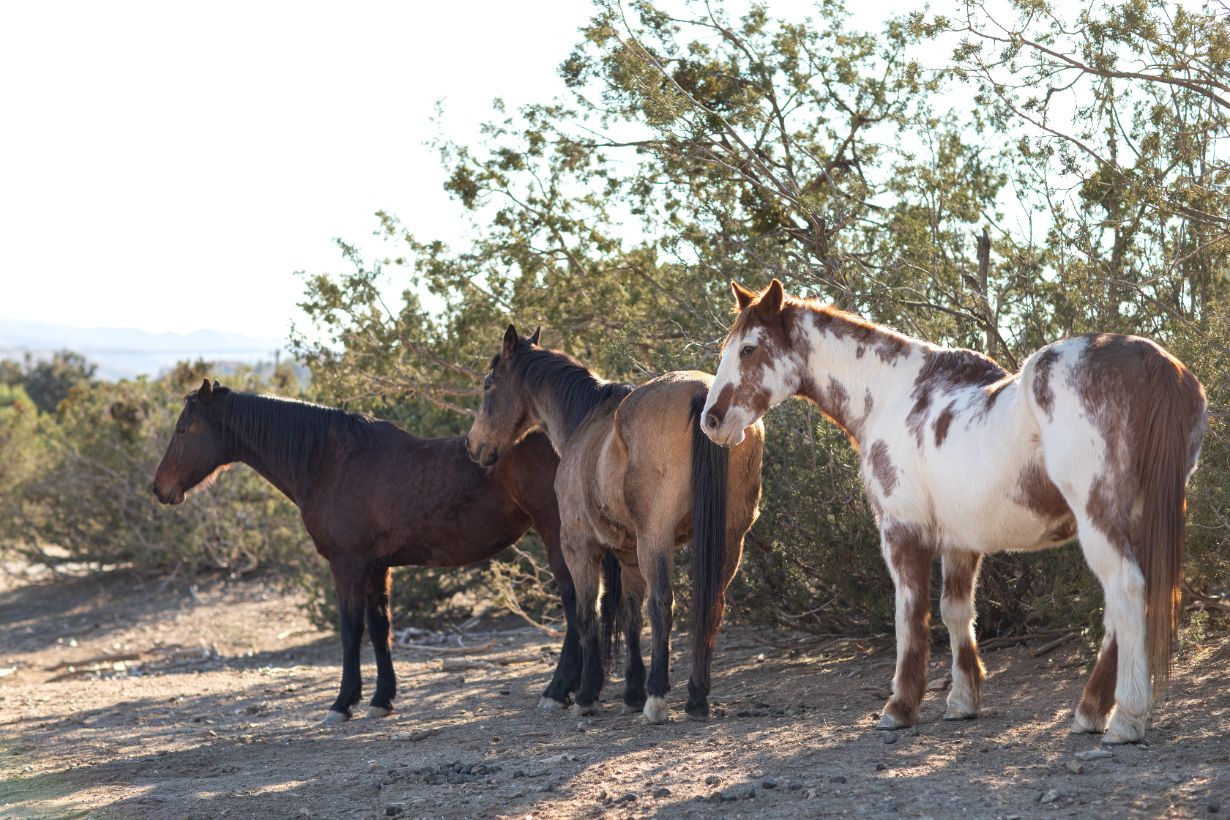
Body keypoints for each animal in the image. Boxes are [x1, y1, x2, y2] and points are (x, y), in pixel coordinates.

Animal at [152, 378, 621, 724]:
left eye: (182, 429)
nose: (159, 488)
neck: (329, 461)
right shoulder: (376, 567)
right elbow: (381, 629)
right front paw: (381, 699)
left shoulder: (346, 565)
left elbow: (350, 630)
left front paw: (342, 703)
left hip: (559, 539)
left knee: (576, 606)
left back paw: (559, 691)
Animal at [465, 326, 764, 724]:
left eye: (488, 384)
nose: (473, 445)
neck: (588, 422)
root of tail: (702, 392)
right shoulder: (627, 555)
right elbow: (630, 615)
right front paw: (632, 691)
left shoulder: (579, 548)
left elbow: (587, 614)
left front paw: (588, 694)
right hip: (731, 539)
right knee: (711, 605)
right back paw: (696, 698)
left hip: (655, 540)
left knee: (662, 604)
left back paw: (657, 698)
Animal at [701, 279, 1207, 744]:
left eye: (748, 348)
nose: (712, 420)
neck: (891, 395)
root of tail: (1152, 361)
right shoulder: (962, 542)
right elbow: (956, 613)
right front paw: (963, 701)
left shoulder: (901, 534)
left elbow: (910, 617)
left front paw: (900, 707)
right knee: (1119, 612)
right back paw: (1090, 712)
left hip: (1100, 519)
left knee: (1126, 591)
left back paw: (1125, 719)